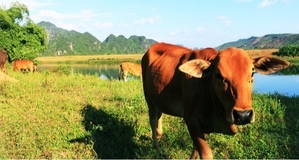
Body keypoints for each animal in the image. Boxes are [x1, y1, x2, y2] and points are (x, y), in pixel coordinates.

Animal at [142, 42, 290, 159]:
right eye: (218, 75)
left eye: (252, 73)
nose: (243, 115)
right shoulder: (191, 120)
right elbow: (206, 153)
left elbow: (196, 149)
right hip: (148, 97)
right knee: (153, 119)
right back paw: (157, 148)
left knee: (159, 115)